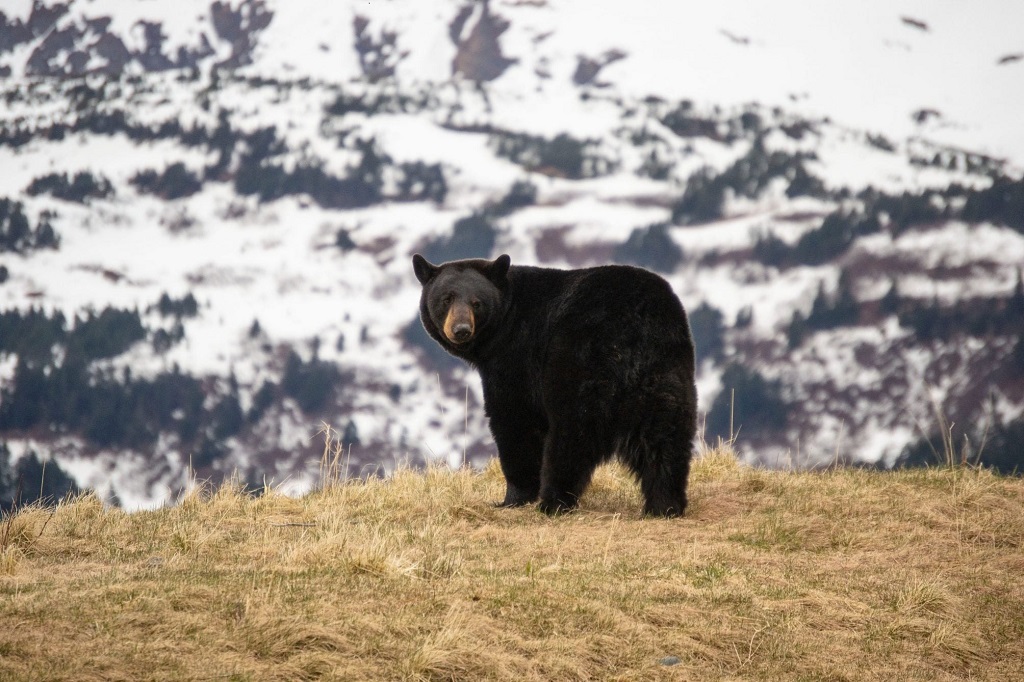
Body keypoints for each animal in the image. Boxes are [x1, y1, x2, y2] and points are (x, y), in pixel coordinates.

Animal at [412, 253, 697, 517]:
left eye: (476, 303)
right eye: (446, 299)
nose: (461, 329)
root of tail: (636, 324)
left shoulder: (516, 358)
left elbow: (514, 420)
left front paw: (512, 498)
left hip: (579, 360)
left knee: (571, 434)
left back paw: (553, 502)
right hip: (665, 371)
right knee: (666, 437)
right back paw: (665, 504)